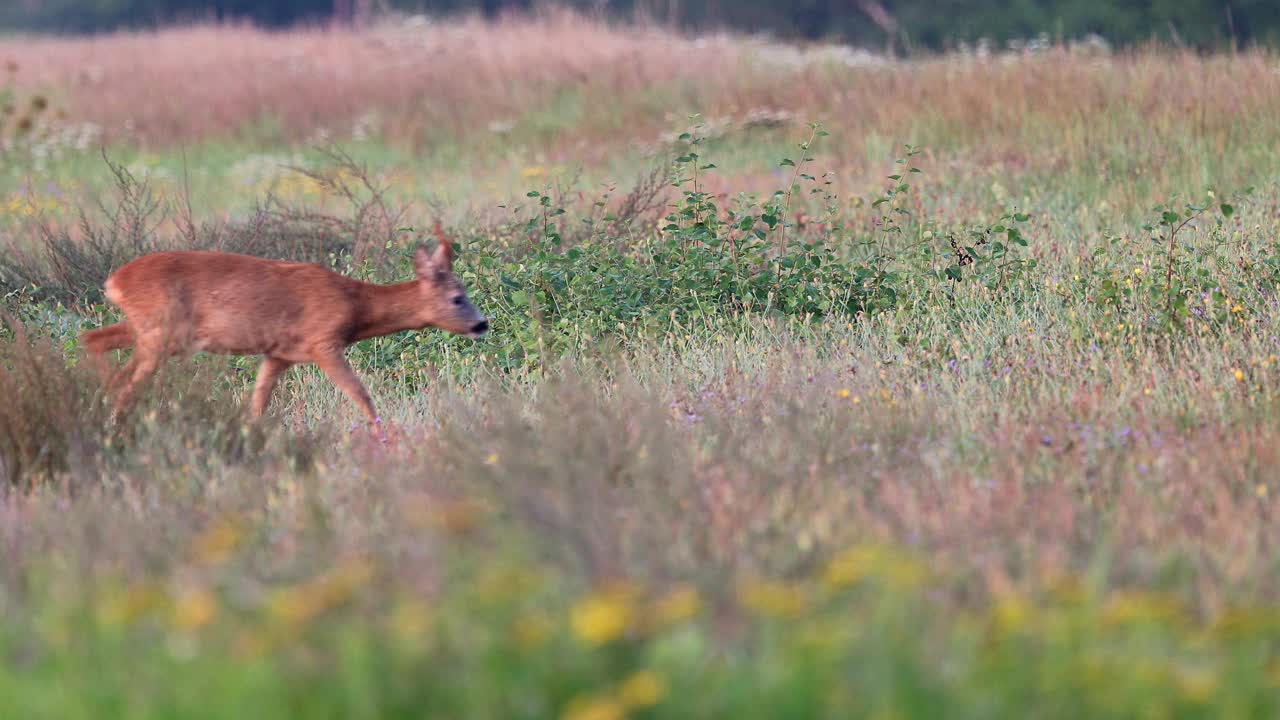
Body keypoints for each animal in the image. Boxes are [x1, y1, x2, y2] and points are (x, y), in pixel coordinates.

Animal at [80, 224, 486, 425]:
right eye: (457, 298)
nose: (482, 324)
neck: (355, 302)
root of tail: (115, 282)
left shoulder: (278, 355)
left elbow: (258, 404)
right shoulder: (323, 342)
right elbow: (362, 396)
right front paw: (385, 441)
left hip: (148, 330)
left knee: (93, 340)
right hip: (160, 332)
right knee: (126, 384)